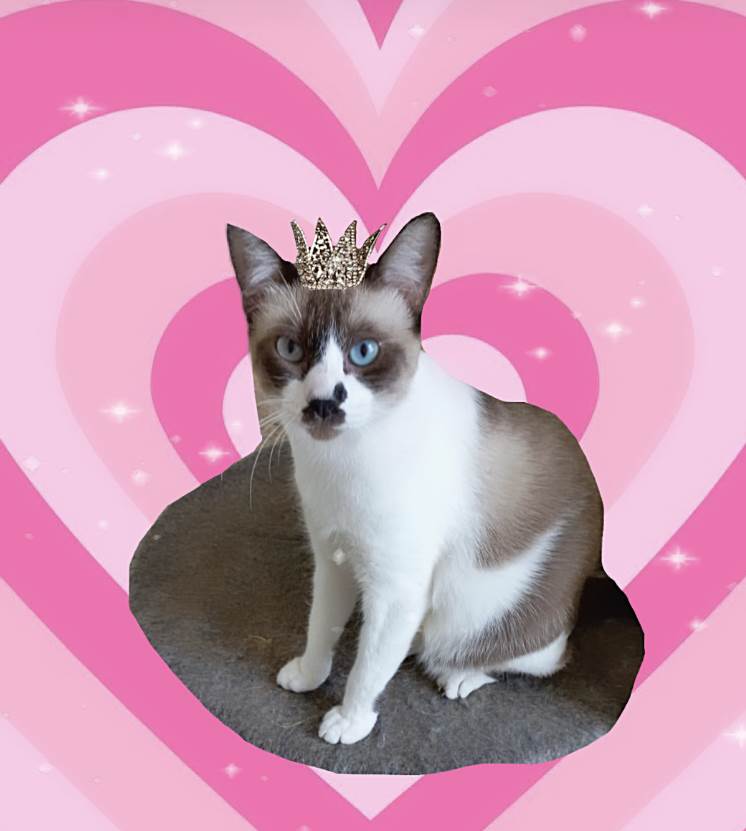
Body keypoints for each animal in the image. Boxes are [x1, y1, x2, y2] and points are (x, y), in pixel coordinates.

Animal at [227, 213, 603, 746]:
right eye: (290, 349)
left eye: (364, 352)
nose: (323, 404)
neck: (338, 463)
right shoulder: (333, 558)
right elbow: (321, 627)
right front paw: (307, 676)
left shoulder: (396, 587)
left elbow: (365, 671)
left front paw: (348, 722)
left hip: (476, 615)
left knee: (533, 657)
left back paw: (458, 674)